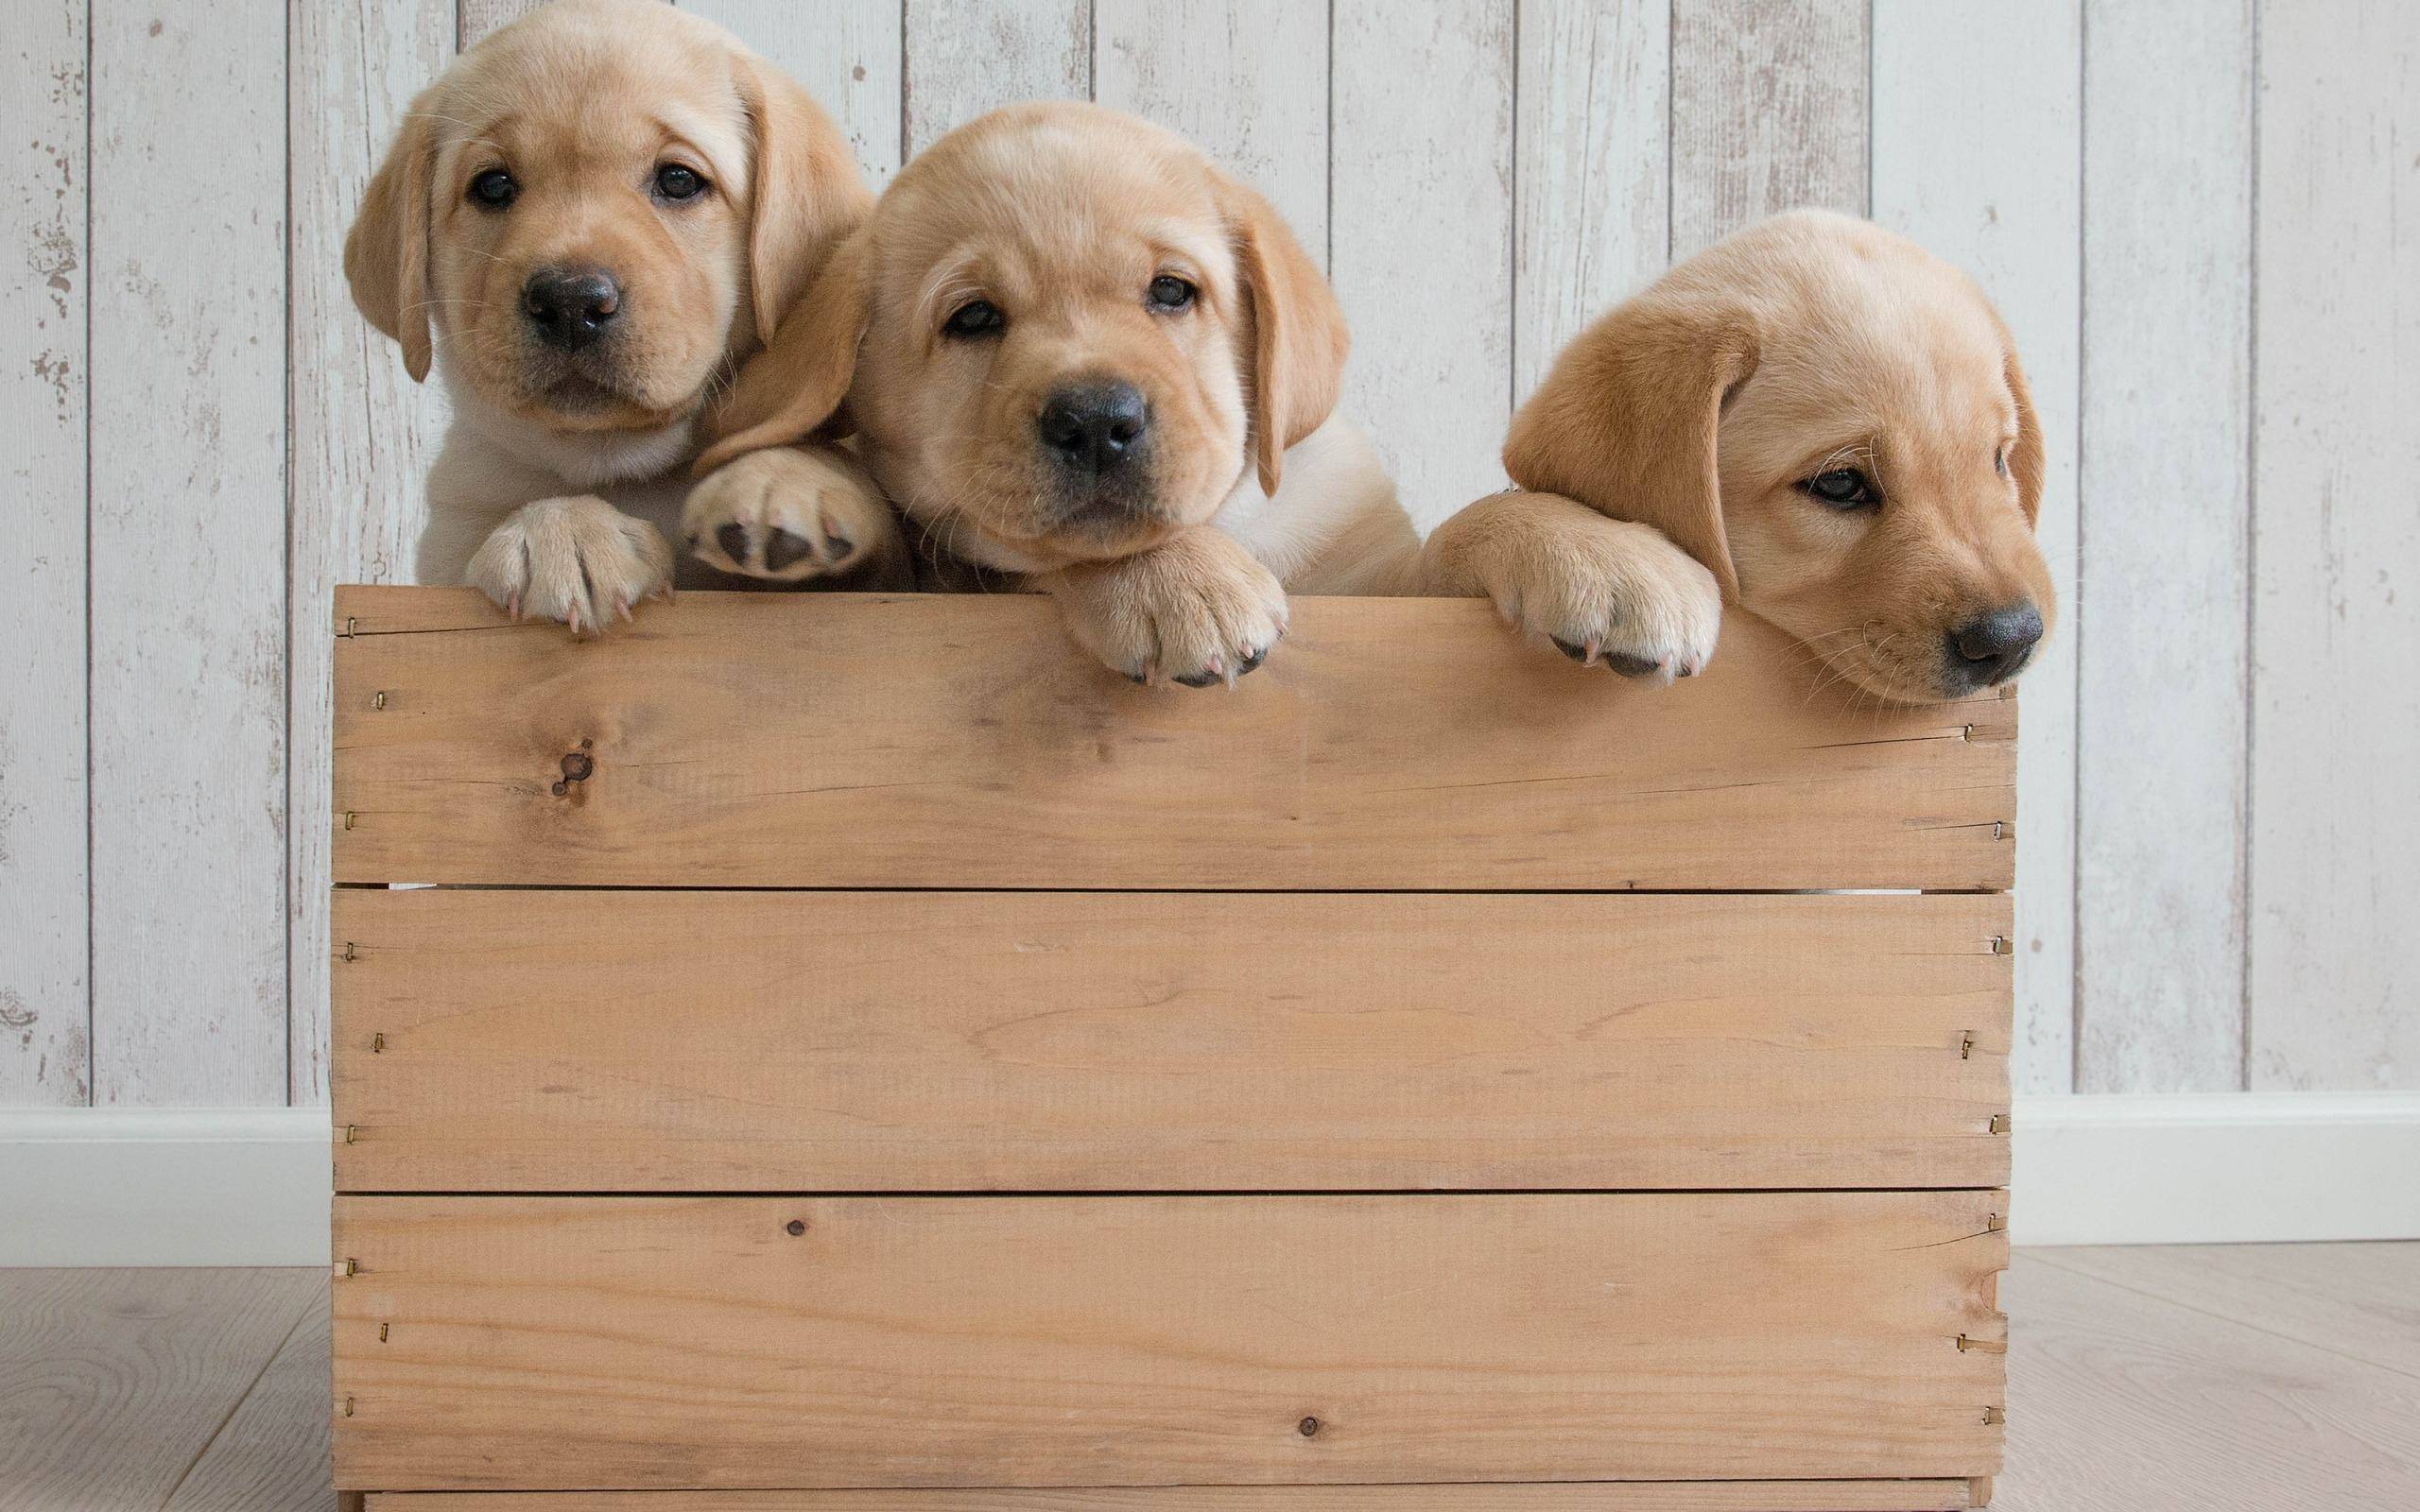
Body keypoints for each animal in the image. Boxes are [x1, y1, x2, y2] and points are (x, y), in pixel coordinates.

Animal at [346, 0, 905, 624]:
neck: (620, 468)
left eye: (679, 179)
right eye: (492, 185)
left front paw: (786, 478)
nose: (570, 301)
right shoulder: (443, 554)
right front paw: (564, 531)